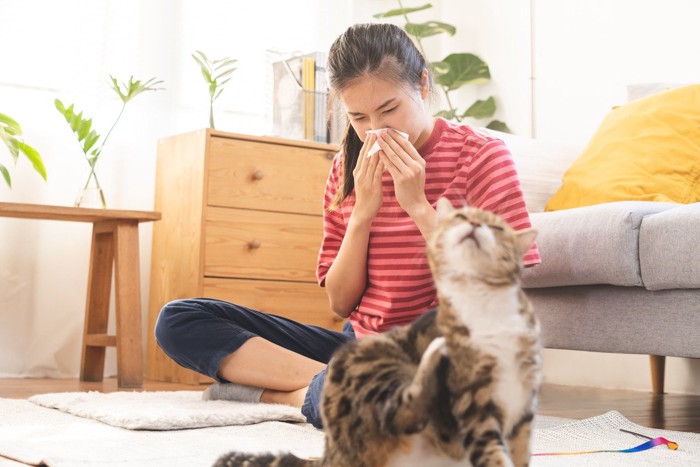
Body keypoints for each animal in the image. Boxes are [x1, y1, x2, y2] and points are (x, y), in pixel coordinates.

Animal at [213, 199, 540, 467]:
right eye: (460, 216)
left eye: (496, 227)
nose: (473, 224)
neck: (485, 306)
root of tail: (331, 451)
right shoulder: (472, 403)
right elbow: (492, 453)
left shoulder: (524, 404)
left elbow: (519, 453)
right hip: (373, 362)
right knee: (399, 411)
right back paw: (434, 355)